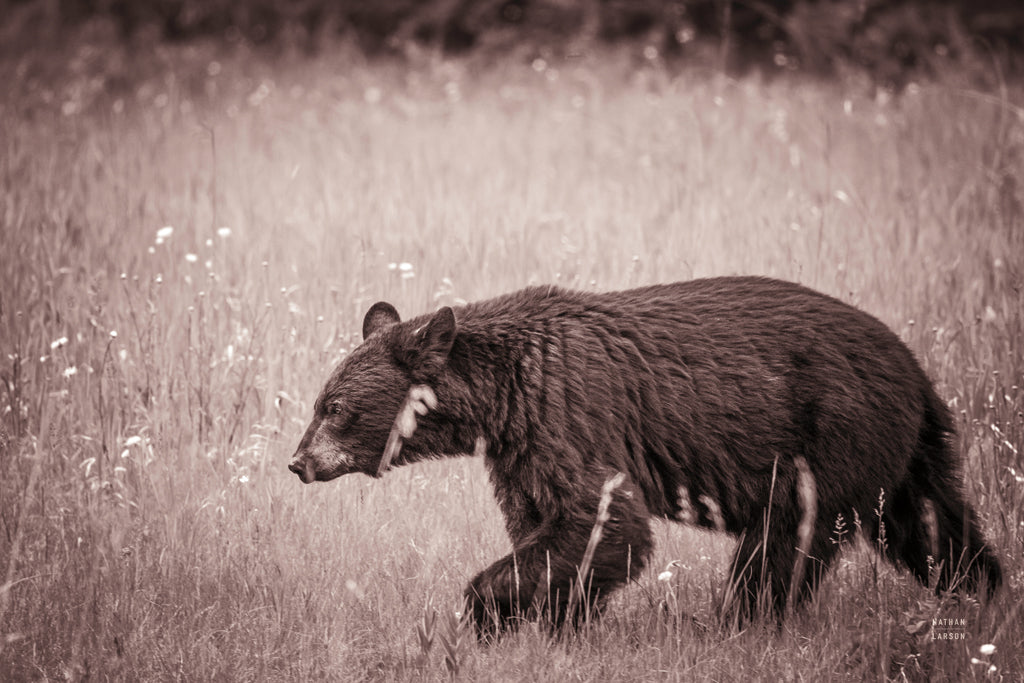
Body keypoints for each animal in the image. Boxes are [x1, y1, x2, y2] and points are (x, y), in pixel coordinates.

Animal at [286, 276, 999, 634]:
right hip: (903, 454)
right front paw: (560, 623)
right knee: (934, 528)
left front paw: (487, 615)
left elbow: (605, 521)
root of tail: (917, 370)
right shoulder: (521, 448)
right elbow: (551, 527)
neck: (500, 394)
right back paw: (988, 596)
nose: (298, 462)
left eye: (333, 407)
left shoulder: (568, 413)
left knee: (784, 538)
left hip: (829, 435)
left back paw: (738, 623)